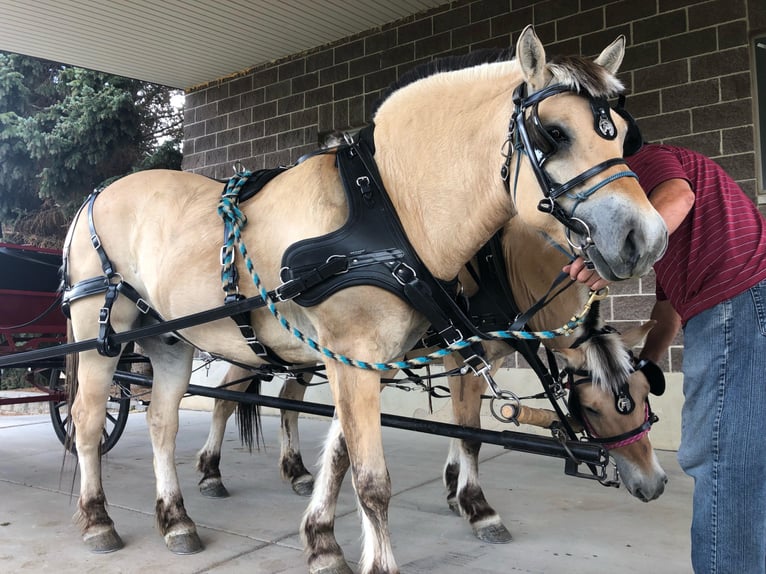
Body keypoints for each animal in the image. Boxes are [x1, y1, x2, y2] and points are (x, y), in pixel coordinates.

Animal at [63, 25, 668, 574]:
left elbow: (340, 456)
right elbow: (377, 475)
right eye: (554, 133)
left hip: (169, 338)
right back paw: (98, 519)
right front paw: (449, 519)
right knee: (92, 419)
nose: (648, 237)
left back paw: (176, 519)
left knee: (163, 423)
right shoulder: (364, 356)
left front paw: (323, 541)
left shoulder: (367, 362)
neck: (391, 210)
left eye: (622, 138)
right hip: (101, 333)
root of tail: (96, 194)